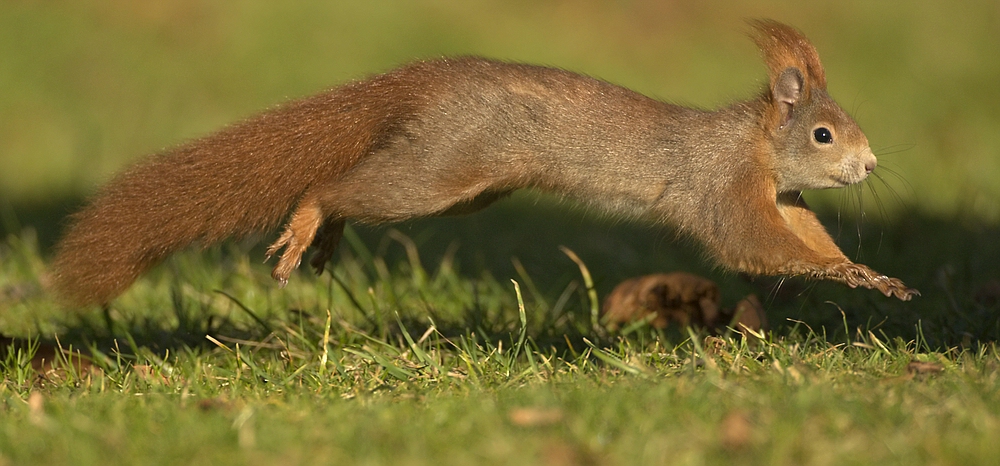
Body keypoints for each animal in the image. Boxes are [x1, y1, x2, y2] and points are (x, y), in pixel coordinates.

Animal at [50, 20, 916, 306]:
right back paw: (308, 221)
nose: (873, 164)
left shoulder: (783, 199)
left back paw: (326, 237)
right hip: (440, 173)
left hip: (460, 186)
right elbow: (748, 244)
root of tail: (430, 80)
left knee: (355, 191)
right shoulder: (722, 187)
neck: (755, 146)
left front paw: (869, 275)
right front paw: (849, 277)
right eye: (825, 135)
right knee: (335, 185)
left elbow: (806, 239)